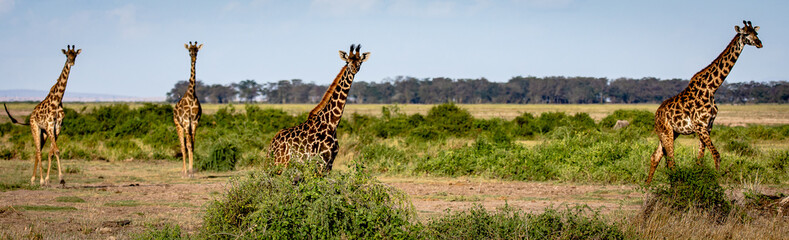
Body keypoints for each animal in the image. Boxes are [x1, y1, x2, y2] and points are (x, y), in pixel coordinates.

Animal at [3, 46, 81, 187]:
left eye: (75, 55)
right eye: (67, 55)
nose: (71, 62)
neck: (57, 100)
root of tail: (31, 115)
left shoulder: (57, 127)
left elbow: (51, 152)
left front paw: (50, 179)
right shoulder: (50, 126)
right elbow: (56, 151)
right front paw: (58, 179)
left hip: (43, 133)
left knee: (37, 151)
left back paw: (33, 179)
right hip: (35, 128)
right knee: (38, 152)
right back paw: (38, 180)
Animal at [268, 44, 370, 172]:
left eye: (360, 62)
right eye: (347, 61)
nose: (354, 69)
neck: (332, 124)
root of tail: (271, 144)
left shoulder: (329, 163)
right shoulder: (320, 162)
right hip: (279, 164)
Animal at [648, 21, 764, 185]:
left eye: (756, 33)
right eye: (746, 34)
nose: (759, 43)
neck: (712, 88)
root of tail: (656, 114)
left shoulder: (707, 127)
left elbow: (700, 160)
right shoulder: (701, 126)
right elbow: (717, 155)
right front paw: (717, 181)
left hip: (670, 132)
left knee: (656, 156)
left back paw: (647, 186)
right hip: (666, 132)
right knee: (670, 160)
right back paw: (673, 184)